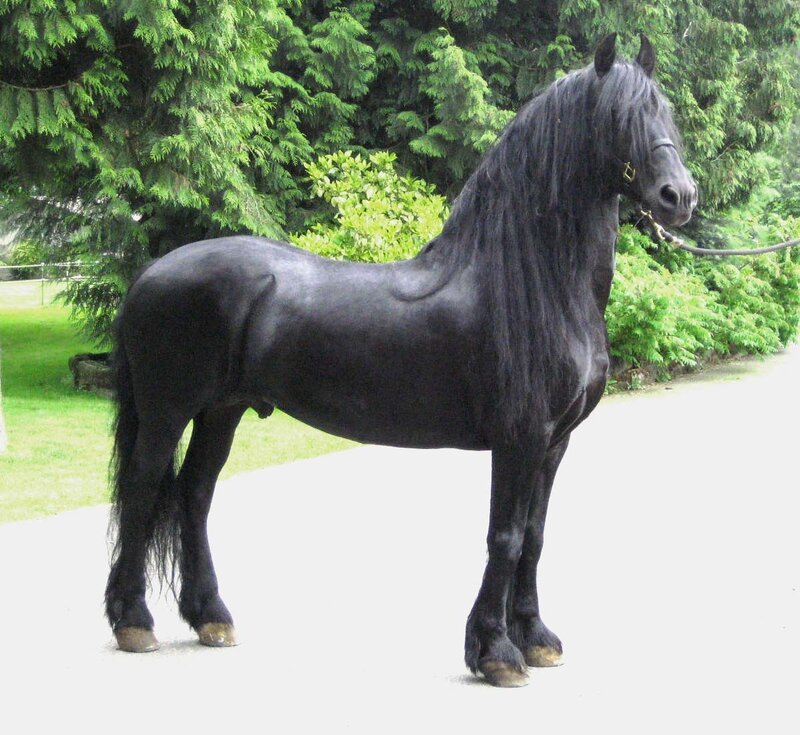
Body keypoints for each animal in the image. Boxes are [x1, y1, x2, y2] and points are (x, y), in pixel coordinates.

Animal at [104, 33, 697, 687]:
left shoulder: (554, 442)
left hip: (222, 412)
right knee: (141, 491)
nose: (679, 197)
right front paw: (496, 652)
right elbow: (505, 536)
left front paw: (535, 637)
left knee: (194, 495)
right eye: (619, 117)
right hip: (168, 412)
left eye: (665, 111)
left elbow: (536, 536)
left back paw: (211, 616)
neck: (533, 282)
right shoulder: (518, 438)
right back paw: (134, 623)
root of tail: (149, 276)